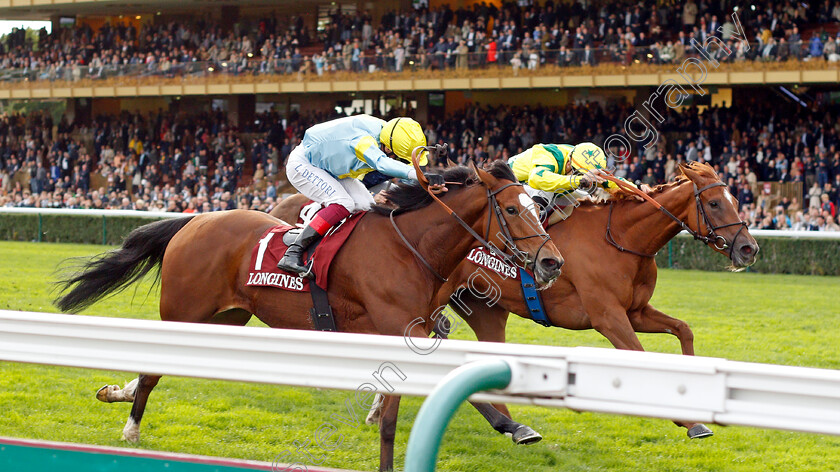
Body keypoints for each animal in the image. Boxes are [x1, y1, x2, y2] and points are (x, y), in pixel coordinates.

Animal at [52, 159, 564, 472]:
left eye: (537, 205)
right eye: (513, 208)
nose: (552, 262)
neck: (412, 248)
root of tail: (194, 219)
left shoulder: (414, 332)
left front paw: (517, 427)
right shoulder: (399, 330)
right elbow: (394, 418)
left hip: (226, 317)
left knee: (159, 365)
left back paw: (119, 394)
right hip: (184, 311)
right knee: (153, 367)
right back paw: (131, 425)